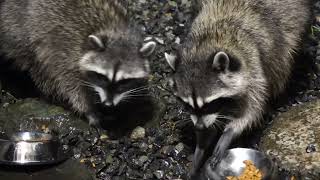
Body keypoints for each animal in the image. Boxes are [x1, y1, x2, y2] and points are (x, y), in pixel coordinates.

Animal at [0, 0, 156, 126]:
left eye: (124, 81)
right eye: (102, 77)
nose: (108, 104)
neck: (115, 32)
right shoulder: (65, 53)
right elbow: (68, 85)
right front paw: (88, 110)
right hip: (20, 32)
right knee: (38, 68)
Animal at [166, 0, 312, 176]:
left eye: (209, 104)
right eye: (187, 104)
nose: (199, 127)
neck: (208, 41)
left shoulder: (253, 67)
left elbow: (253, 109)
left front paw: (230, 132)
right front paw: (201, 147)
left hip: (292, 29)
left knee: (283, 62)